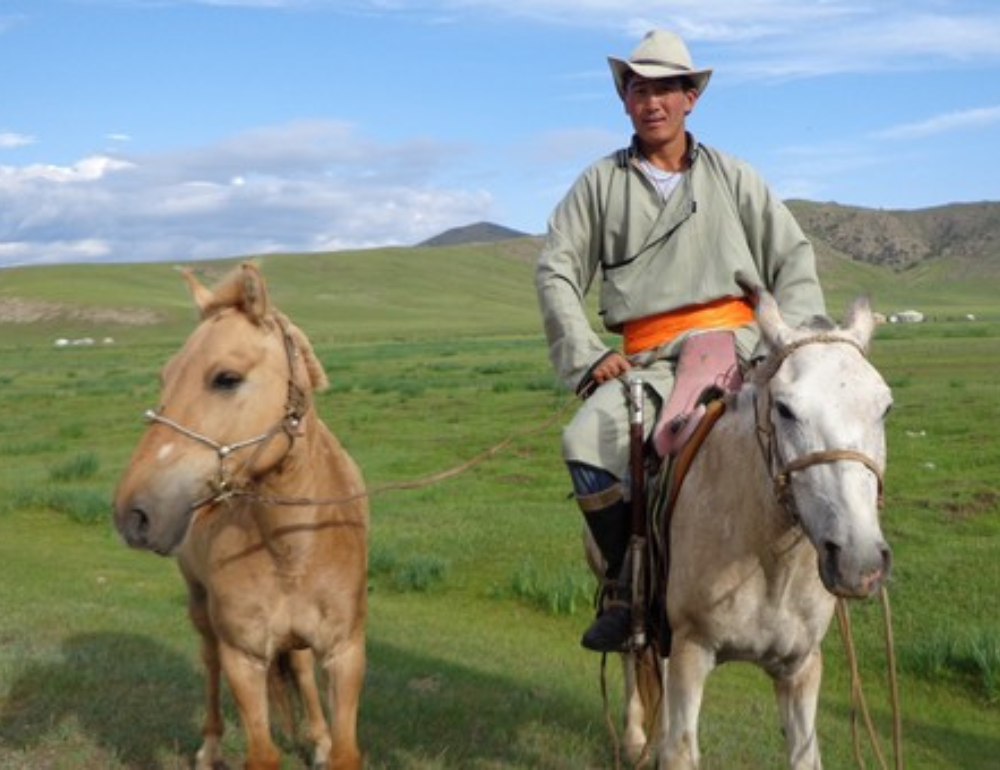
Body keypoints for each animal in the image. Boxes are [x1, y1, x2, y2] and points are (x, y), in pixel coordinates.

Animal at [111, 264, 368, 768]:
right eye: (165, 376)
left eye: (226, 378)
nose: (133, 512)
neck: (292, 549)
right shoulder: (244, 658)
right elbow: (261, 752)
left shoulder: (345, 654)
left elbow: (344, 748)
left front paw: (325, 743)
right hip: (201, 610)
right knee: (209, 663)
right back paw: (210, 747)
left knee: (300, 668)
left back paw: (317, 737)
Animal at [600, 284, 892, 768]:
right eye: (785, 409)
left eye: (885, 408)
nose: (859, 561)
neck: (769, 559)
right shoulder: (692, 650)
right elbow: (681, 750)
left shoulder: (800, 668)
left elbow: (805, 755)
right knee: (630, 658)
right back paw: (635, 740)